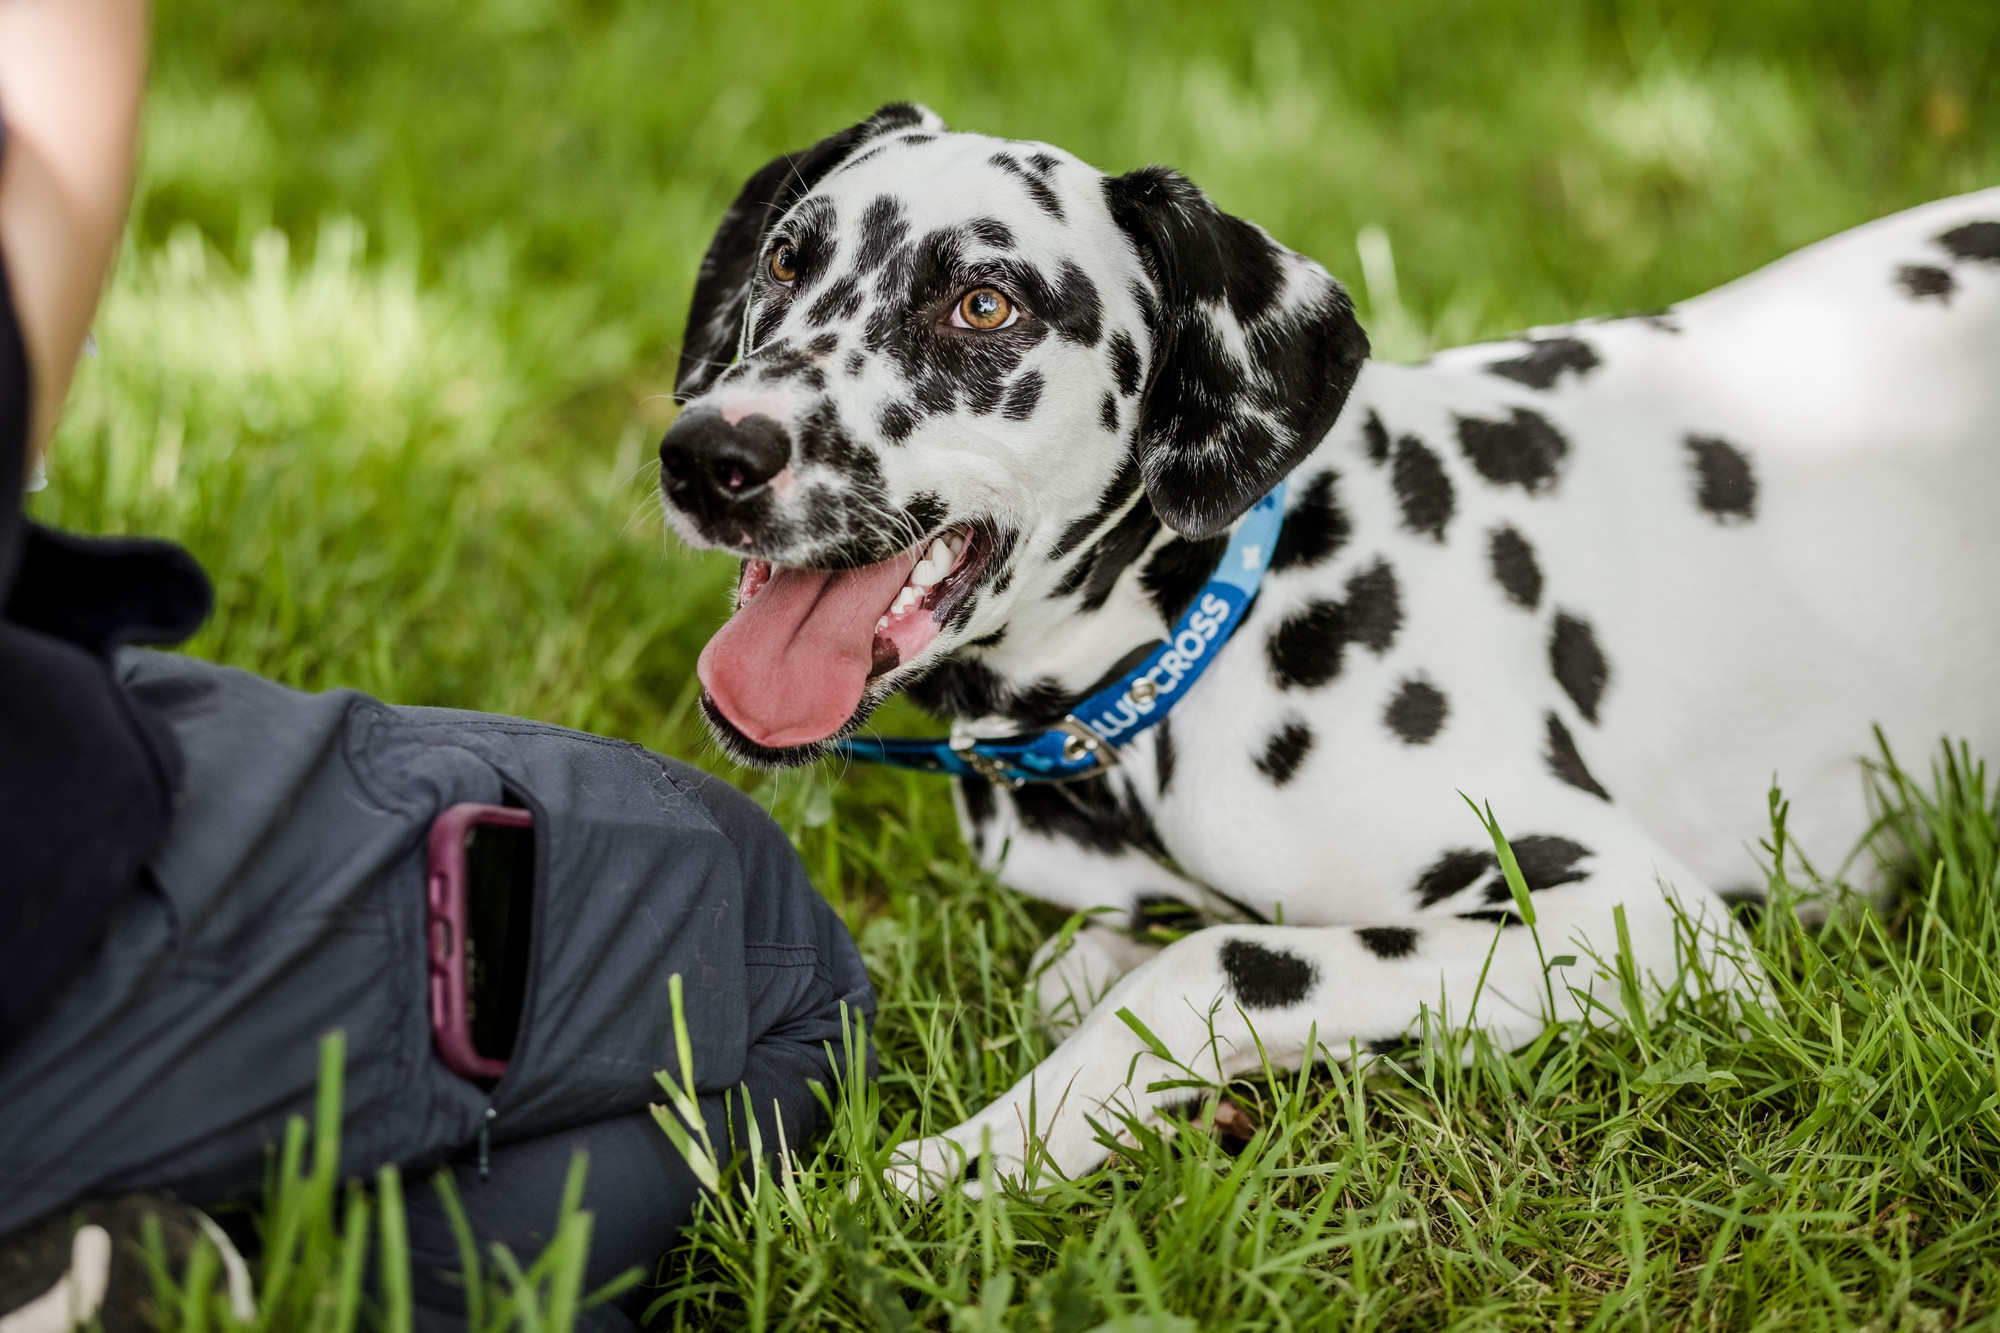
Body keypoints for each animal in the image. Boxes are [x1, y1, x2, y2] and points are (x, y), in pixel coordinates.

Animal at [656, 98, 2000, 1184]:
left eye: (982, 301)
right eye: (785, 258)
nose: (709, 454)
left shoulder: (1630, 914)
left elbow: (1215, 959)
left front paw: (979, 1151)